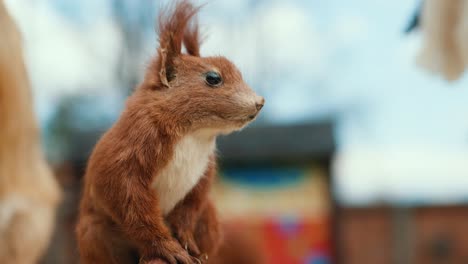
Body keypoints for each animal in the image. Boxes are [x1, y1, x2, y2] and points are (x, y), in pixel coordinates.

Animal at [75, 1, 266, 262]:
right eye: (213, 78)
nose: (260, 102)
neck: (194, 132)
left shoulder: (204, 170)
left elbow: (191, 205)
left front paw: (185, 240)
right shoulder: (132, 143)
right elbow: (126, 196)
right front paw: (168, 248)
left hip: (209, 218)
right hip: (95, 235)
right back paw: (147, 256)